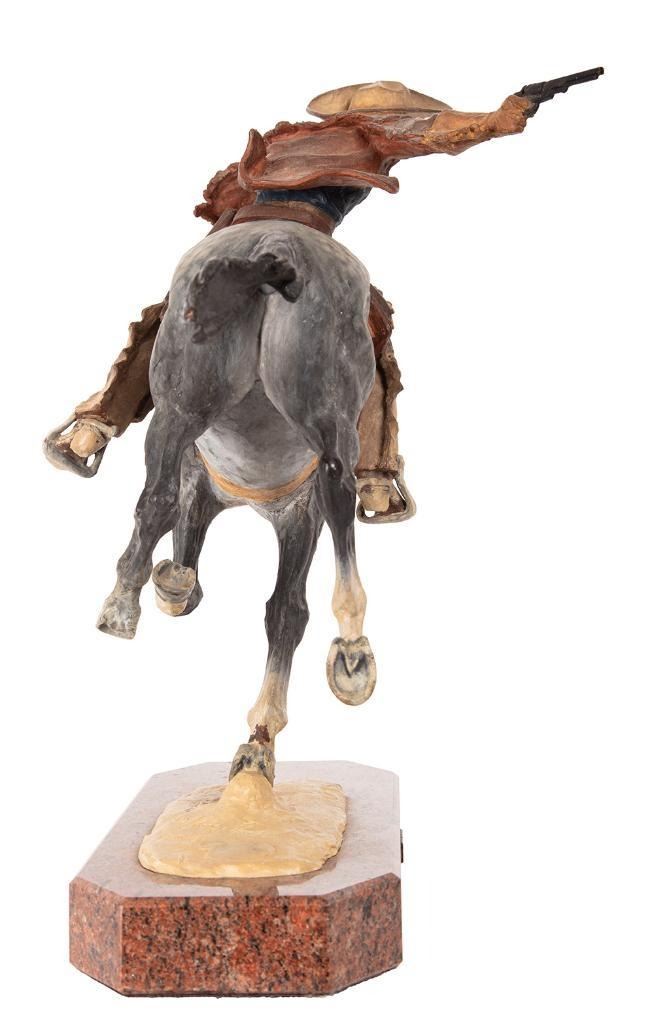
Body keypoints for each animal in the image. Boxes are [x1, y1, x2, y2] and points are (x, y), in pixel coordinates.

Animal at [96, 220, 378, 779]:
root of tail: (277, 248)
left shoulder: (274, 510)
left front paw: (165, 585)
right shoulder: (289, 512)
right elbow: (263, 602)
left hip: (180, 408)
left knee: (155, 500)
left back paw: (120, 606)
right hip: (322, 417)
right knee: (337, 492)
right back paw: (352, 650)